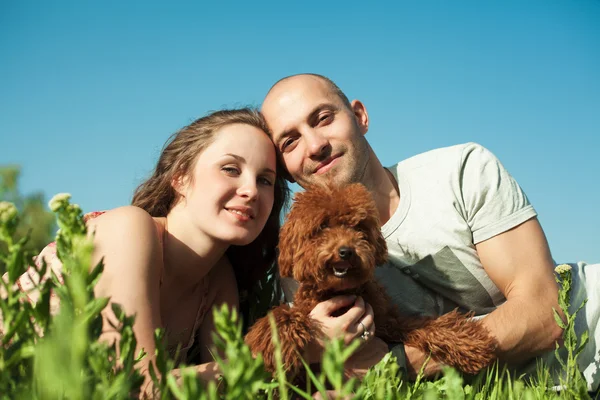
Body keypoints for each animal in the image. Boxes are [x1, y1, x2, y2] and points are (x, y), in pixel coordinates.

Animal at [244, 183, 496, 380]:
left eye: (358, 226)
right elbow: (282, 316)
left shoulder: (389, 322)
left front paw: (468, 342)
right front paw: (275, 344)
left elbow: (426, 325)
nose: (346, 251)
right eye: (322, 226)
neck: (339, 292)